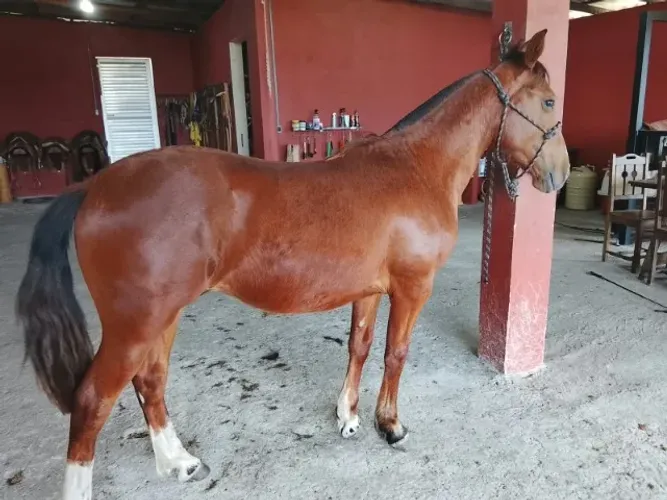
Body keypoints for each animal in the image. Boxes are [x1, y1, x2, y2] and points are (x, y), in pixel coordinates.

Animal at [16, 29, 569, 500]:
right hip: (135, 325)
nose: (560, 175)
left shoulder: (370, 290)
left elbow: (359, 347)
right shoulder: (413, 287)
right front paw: (389, 426)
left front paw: (348, 417)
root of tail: (94, 187)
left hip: (161, 319)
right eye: (548, 101)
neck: (415, 166)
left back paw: (178, 461)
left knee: (149, 382)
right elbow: (395, 353)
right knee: (92, 401)